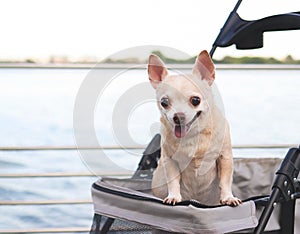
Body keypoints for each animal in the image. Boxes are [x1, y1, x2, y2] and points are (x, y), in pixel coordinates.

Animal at [148, 50, 241, 206]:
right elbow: (173, 182)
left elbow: (225, 181)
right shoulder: (170, 160)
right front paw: (174, 196)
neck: (193, 135)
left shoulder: (225, 157)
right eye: (164, 102)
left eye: (195, 100)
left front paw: (228, 197)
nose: (178, 116)